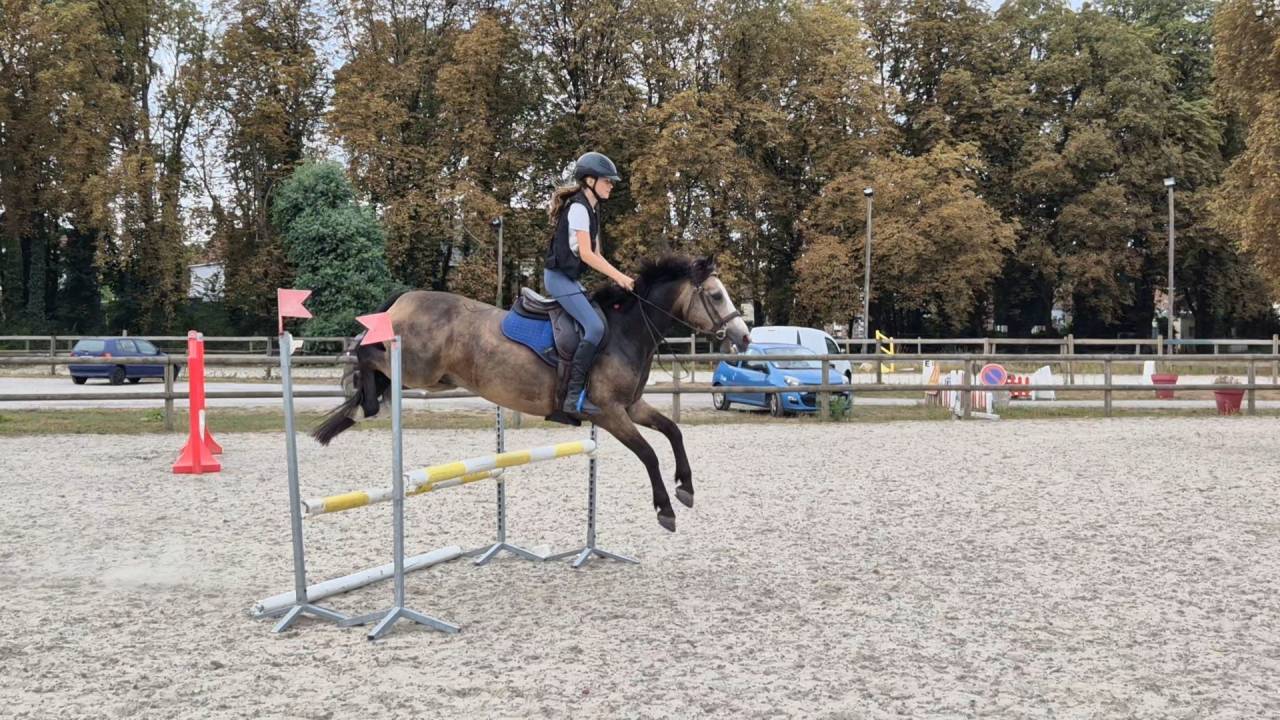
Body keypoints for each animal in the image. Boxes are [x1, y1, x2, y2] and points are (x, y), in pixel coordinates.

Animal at [312, 254, 752, 532]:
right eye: (716, 295)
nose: (744, 336)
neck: (626, 331)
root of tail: (405, 298)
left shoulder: (633, 406)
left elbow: (673, 432)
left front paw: (686, 488)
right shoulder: (609, 413)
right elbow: (648, 454)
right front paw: (665, 508)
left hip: (432, 377)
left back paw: (357, 411)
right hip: (418, 367)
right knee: (366, 350)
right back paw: (364, 403)